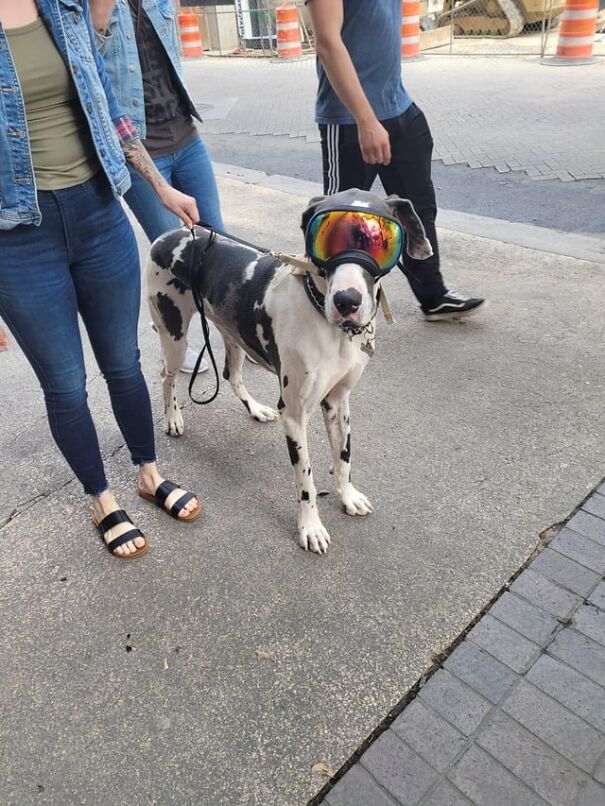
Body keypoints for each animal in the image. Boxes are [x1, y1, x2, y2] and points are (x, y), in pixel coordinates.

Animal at [145, 189, 432, 556]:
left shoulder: (338, 402)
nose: (347, 301)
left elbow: (344, 458)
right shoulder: (295, 415)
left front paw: (348, 496)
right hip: (174, 336)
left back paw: (255, 409)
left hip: (234, 336)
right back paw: (173, 418)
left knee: (232, 376)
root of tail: (172, 234)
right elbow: (306, 480)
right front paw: (310, 527)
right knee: (166, 376)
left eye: (380, 242)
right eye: (325, 238)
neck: (327, 322)